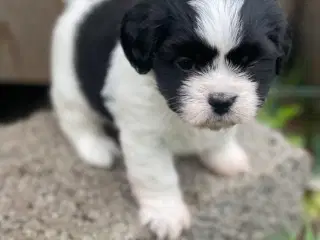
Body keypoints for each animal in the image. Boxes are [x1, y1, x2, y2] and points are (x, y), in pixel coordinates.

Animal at [49, 0, 290, 238]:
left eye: (250, 63)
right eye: (185, 63)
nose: (221, 101)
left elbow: (222, 135)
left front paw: (224, 157)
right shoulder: (145, 136)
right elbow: (157, 176)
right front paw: (165, 214)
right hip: (69, 86)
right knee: (74, 118)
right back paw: (94, 146)